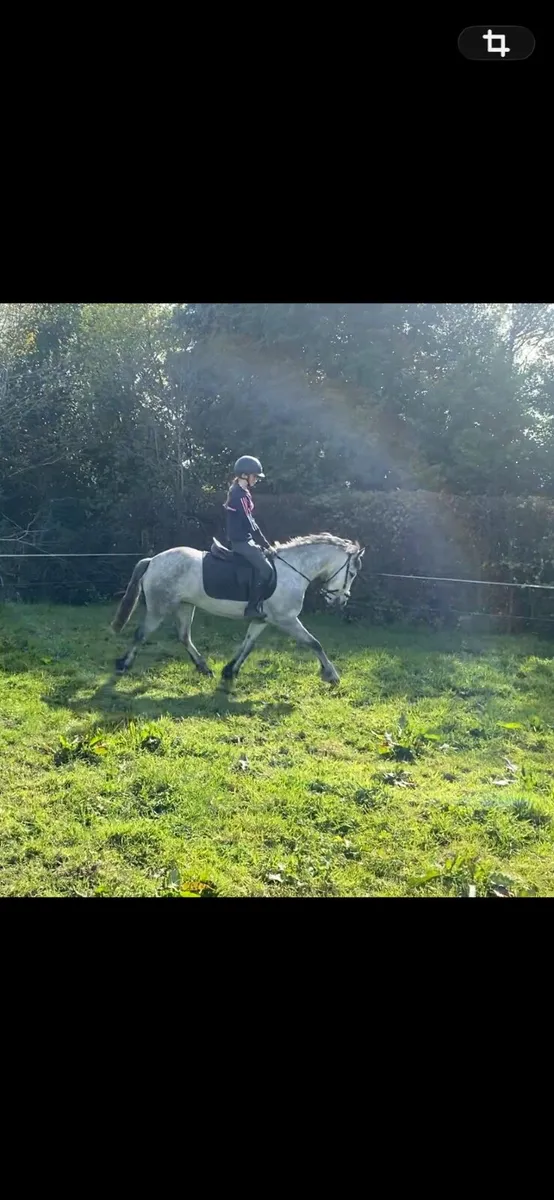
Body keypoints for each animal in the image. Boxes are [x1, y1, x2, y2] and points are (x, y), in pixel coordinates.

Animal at [110, 533, 365, 686]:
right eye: (352, 573)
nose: (341, 601)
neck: (292, 570)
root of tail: (153, 560)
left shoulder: (262, 620)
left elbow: (247, 644)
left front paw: (230, 670)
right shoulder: (287, 619)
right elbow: (314, 643)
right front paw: (332, 675)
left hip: (185, 606)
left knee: (183, 637)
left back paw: (204, 668)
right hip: (159, 608)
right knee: (141, 634)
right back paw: (123, 665)